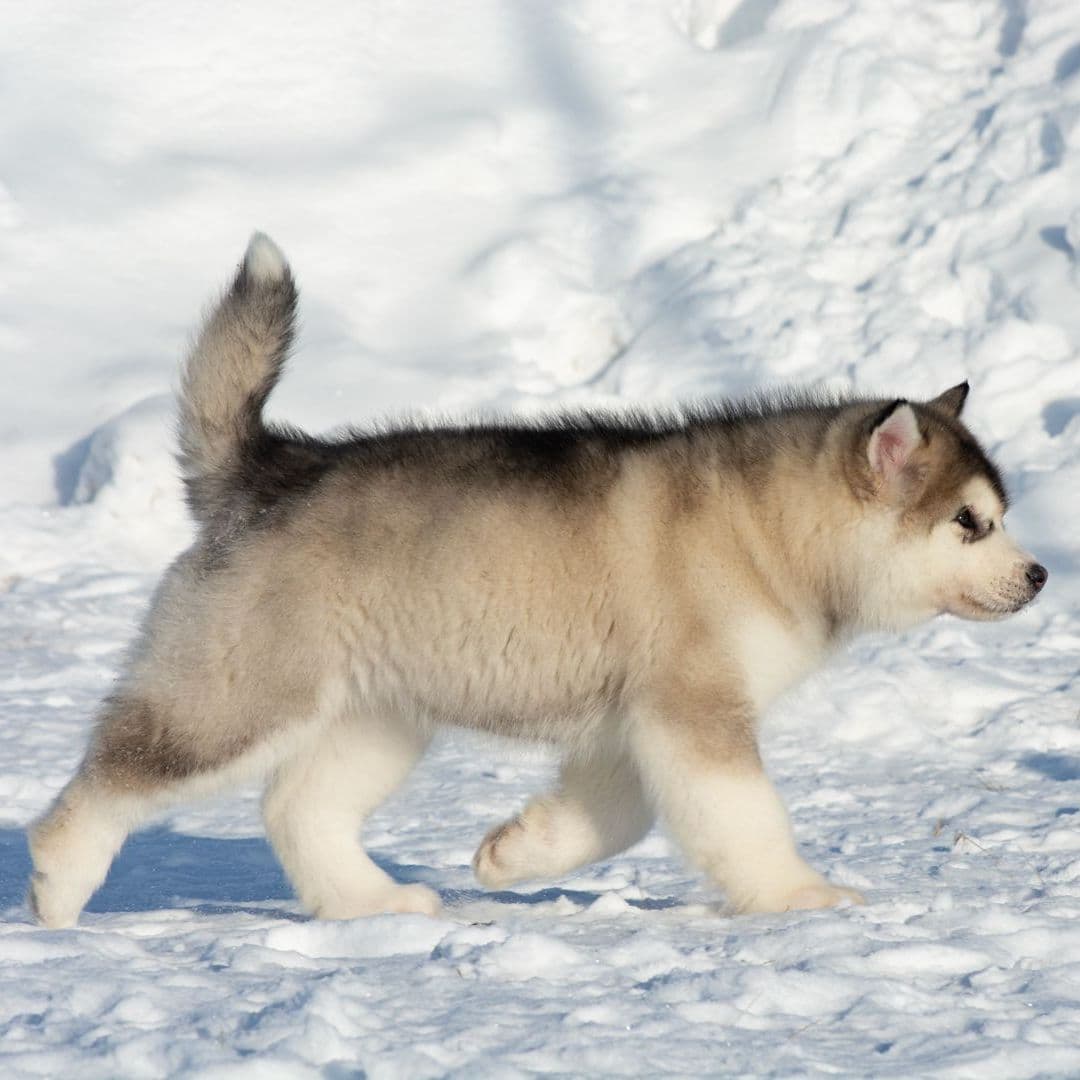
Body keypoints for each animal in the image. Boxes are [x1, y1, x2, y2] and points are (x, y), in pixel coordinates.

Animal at [27, 232, 1045, 924]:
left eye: (998, 516)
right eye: (969, 522)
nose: (1038, 575)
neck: (769, 526)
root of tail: (269, 466)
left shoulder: (635, 722)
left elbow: (617, 816)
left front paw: (513, 854)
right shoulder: (693, 711)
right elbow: (745, 815)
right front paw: (802, 894)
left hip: (377, 711)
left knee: (295, 807)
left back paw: (375, 904)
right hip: (237, 694)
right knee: (116, 779)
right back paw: (57, 888)